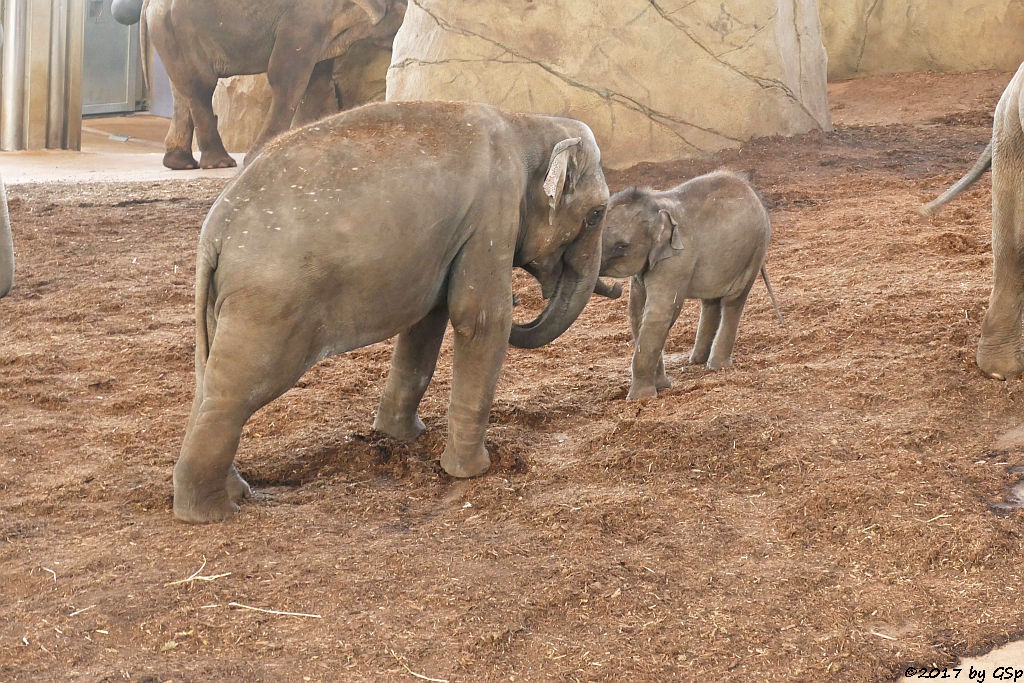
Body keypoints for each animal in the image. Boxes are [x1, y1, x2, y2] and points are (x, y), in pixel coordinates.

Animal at [140, 0, 403, 169]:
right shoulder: (303, 18)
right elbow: (287, 74)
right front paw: (257, 157)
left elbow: (318, 78)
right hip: (182, 30)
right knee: (201, 86)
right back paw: (219, 163)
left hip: (170, 33)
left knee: (181, 89)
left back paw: (180, 163)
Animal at [173, 100, 610, 524]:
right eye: (596, 216)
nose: (526, 301)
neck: (527, 120)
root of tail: (216, 231)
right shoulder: (493, 214)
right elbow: (481, 320)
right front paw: (471, 473)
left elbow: (427, 320)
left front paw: (402, 436)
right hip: (270, 304)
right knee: (236, 391)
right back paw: (212, 513)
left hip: (222, 305)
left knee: (208, 381)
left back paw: (234, 493)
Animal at [598, 169, 778, 401]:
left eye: (622, 246)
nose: (616, 288)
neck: (656, 204)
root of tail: (751, 189)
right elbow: (637, 312)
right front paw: (661, 385)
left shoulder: (677, 260)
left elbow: (661, 313)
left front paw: (640, 398)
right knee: (711, 301)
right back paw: (697, 360)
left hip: (754, 251)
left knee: (732, 301)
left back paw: (716, 366)